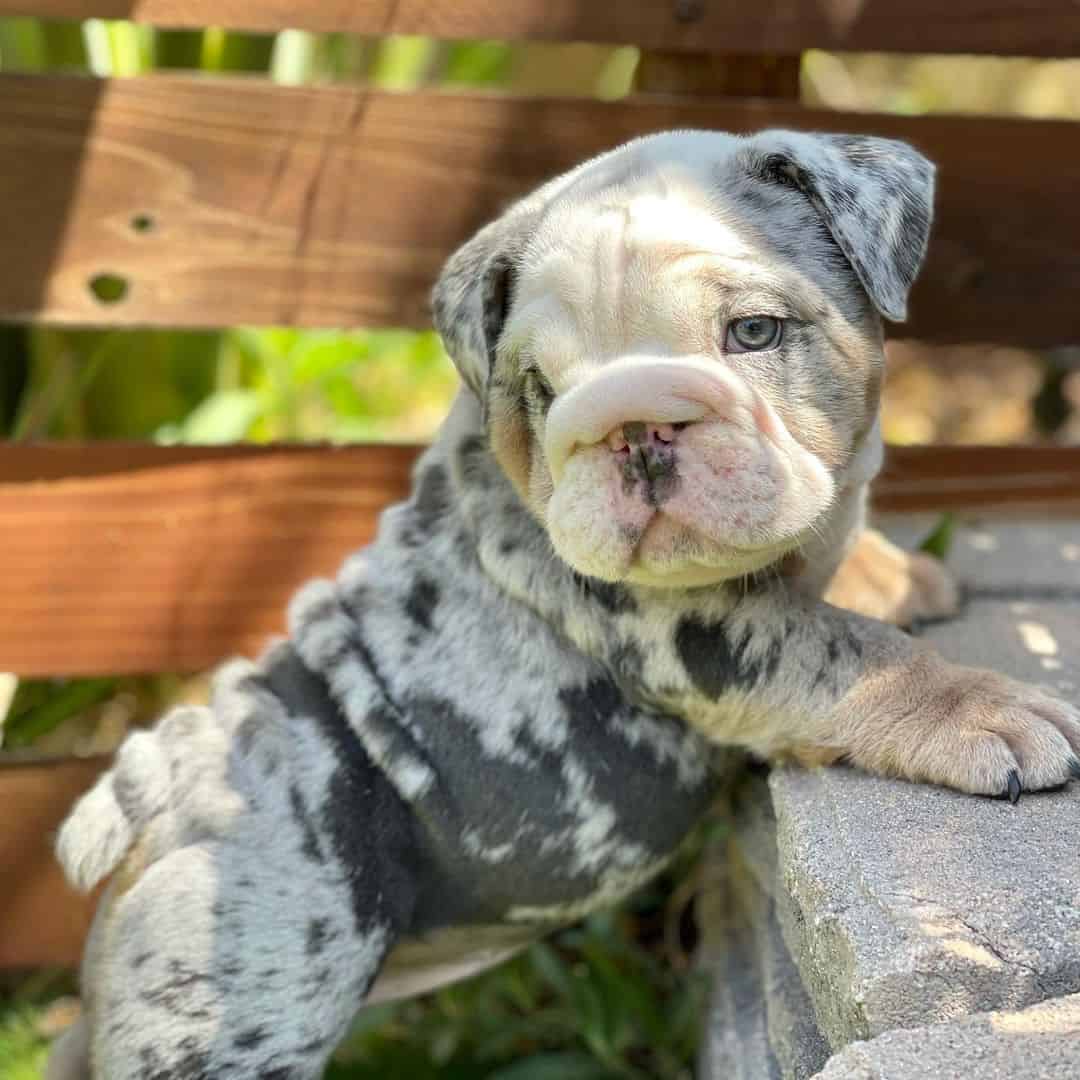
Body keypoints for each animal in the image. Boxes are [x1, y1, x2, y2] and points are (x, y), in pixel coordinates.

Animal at [48, 128, 1080, 1080]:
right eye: (541, 389)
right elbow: (850, 654)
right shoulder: (696, 629)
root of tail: (154, 789)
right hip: (249, 992)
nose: (634, 425)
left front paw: (891, 571)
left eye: (753, 333)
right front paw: (989, 711)